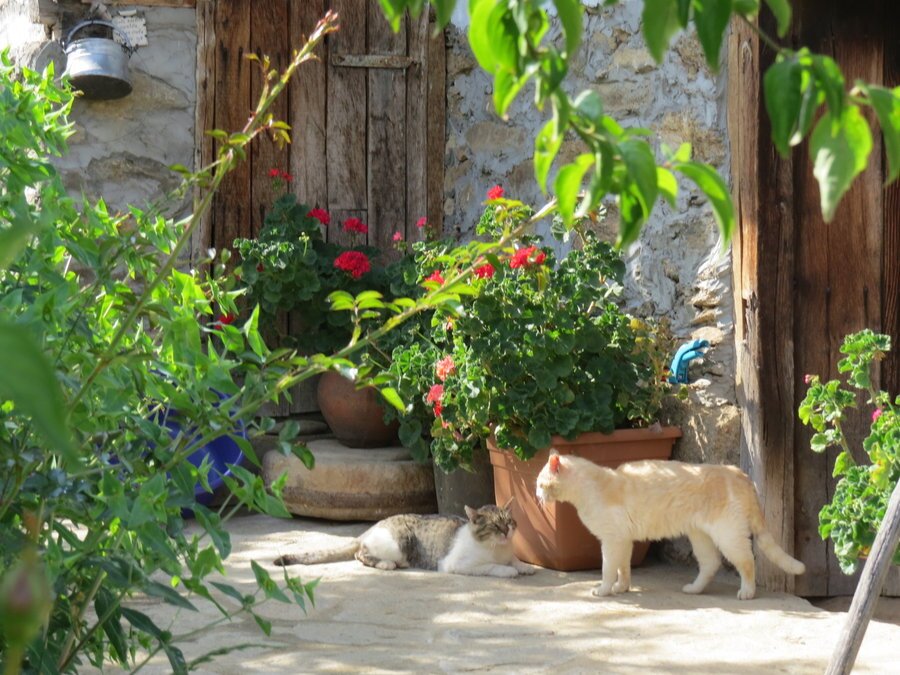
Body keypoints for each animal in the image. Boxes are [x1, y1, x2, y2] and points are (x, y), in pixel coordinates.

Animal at [273, 503, 537, 578]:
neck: (498, 549)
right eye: (495, 526)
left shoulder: (509, 553)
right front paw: (508, 570)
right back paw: (388, 564)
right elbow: (492, 567)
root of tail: (369, 529)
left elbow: (516, 560)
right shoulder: (458, 565)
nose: (506, 532)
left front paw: (523, 566)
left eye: (509, 523)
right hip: (399, 543)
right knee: (361, 554)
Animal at [535, 452, 805, 600]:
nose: (536, 494)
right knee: (711, 564)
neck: (593, 487)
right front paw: (622, 588)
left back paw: (747, 592)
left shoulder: (612, 542)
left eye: (540, 484)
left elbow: (608, 569)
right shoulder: (623, 541)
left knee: (747, 562)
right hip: (700, 536)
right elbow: (623, 568)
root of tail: (740, 473)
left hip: (728, 536)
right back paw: (694, 589)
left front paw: (604, 590)